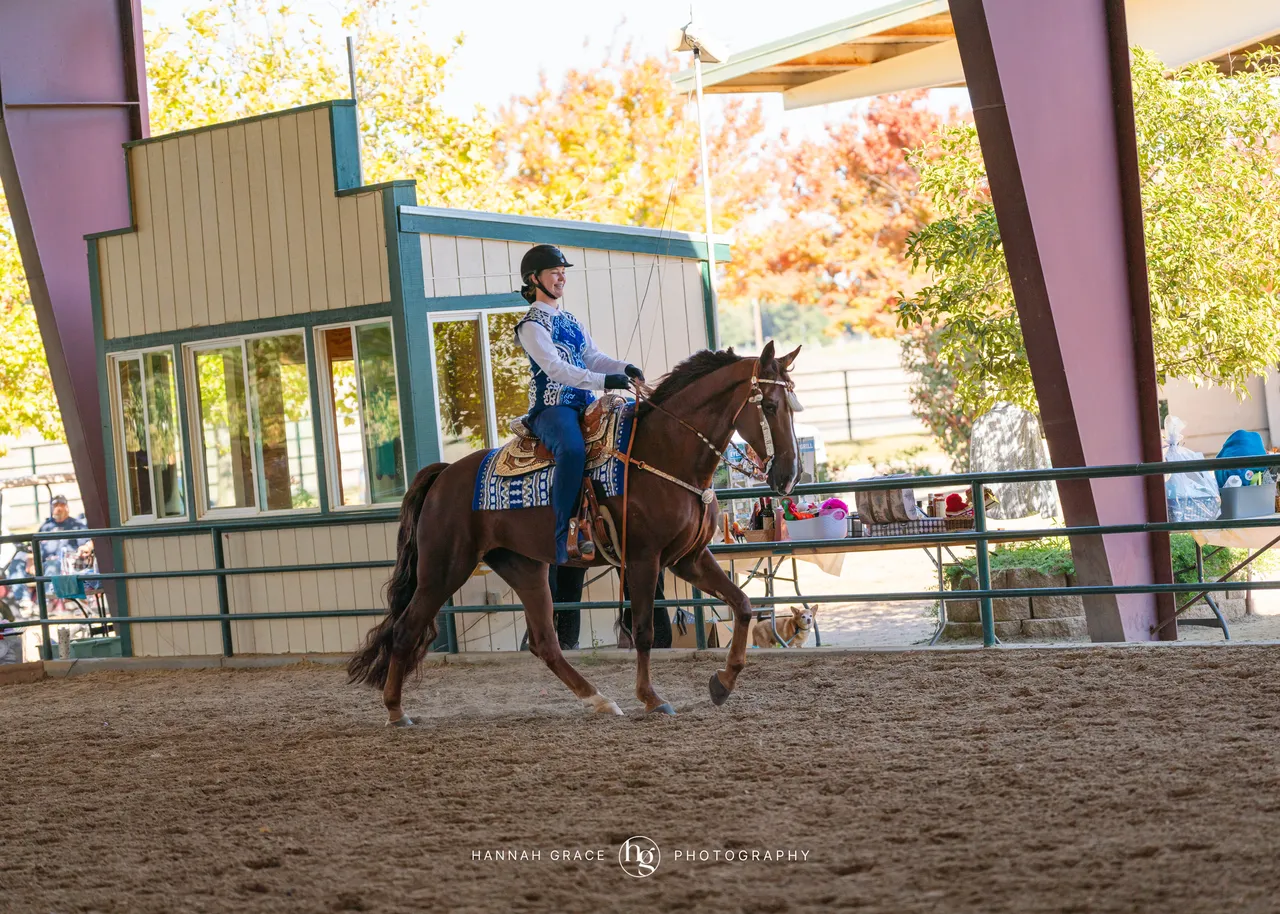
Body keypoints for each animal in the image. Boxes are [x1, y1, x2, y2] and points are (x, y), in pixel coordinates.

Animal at [348, 341, 803, 725]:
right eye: (771, 404)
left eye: (792, 407)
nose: (788, 475)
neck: (664, 453)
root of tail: (443, 476)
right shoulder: (643, 560)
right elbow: (644, 631)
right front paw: (652, 698)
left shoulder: (688, 559)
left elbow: (742, 604)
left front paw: (722, 683)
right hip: (444, 569)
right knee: (406, 630)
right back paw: (396, 712)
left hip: (524, 568)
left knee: (544, 643)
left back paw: (600, 700)